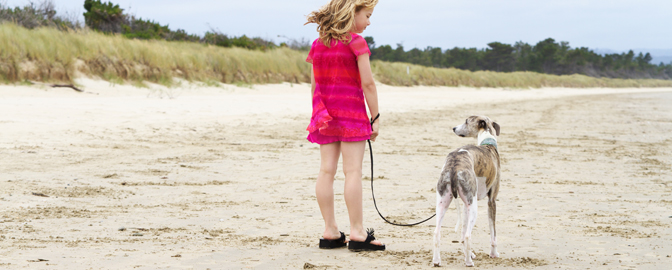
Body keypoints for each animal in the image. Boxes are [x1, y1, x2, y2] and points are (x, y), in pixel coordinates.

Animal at [434, 115, 502, 266]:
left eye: (466, 121)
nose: (454, 128)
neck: (488, 143)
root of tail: (454, 167)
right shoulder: (492, 201)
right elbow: (493, 233)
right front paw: (494, 254)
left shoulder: (466, 205)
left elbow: (462, 232)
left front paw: (469, 253)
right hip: (473, 206)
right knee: (467, 235)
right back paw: (469, 262)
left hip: (444, 202)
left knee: (437, 233)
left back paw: (436, 261)